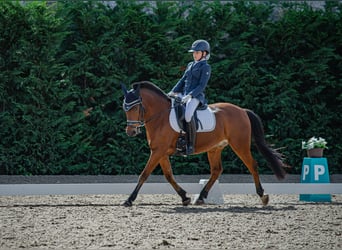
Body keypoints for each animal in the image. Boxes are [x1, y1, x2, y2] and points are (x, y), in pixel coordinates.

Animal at [120, 81, 286, 207]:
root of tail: (242, 110)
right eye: (125, 108)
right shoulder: (160, 152)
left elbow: (144, 174)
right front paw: (185, 197)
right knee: (216, 170)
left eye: (135, 107)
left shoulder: (158, 151)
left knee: (252, 165)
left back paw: (263, 196)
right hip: (214, 148)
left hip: (240, 145)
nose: (130, 132)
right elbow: (168, 175)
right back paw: (200, 197)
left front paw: (129, 200)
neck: (160, 117)